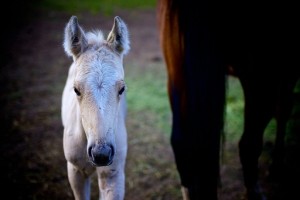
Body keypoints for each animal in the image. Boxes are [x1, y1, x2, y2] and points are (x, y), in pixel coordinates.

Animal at [158, 0, 298, 199]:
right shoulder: (284, 72)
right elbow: (284, 109)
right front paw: (276, 165)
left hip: (175, 69)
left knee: (180, 141)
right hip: (261, 76)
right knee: (249, 143)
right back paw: (254, 192)